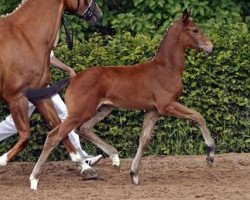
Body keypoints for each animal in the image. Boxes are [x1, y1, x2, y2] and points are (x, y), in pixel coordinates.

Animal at [0, 0, 102, 173]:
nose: (98, 13)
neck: (25, 37)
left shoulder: (39, 95)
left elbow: (58, 126)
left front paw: (83, 165)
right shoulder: (16, 98)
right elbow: (25, 136)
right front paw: (2, 160)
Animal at [26, 10, 216, 189]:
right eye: (195, 30)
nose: (211, 47)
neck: (166, 69)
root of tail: (73, 78)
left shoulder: (153, 110)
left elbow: (144, 139)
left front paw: (134, 174)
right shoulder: (167, 105)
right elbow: (198, 116)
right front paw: (210, 154)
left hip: (103, 109)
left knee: (83, 129)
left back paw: (115, 157)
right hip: (80, 112)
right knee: (54, 135)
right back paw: (34, 179)